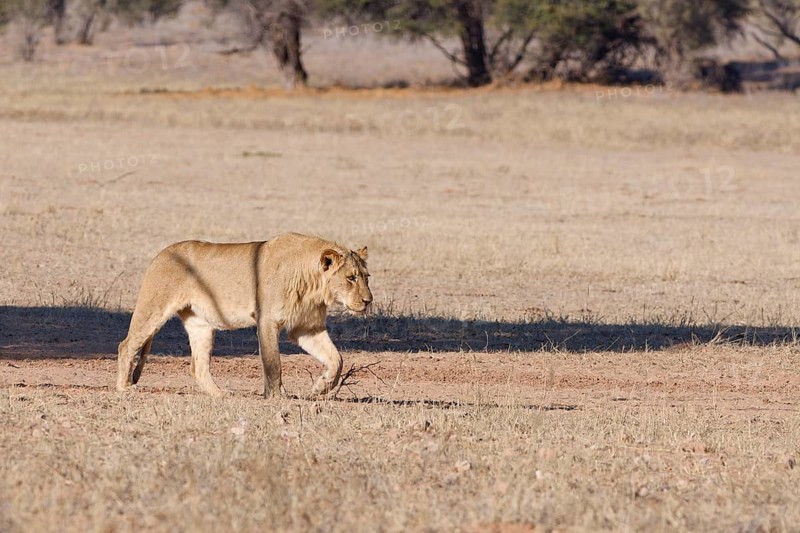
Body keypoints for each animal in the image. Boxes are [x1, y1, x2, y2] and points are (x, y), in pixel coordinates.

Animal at [116, 232, 372, 398]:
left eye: (366, 277)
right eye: (350, 278)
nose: (368, 301)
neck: (313, 287)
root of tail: (161, 254)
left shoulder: (307, 328)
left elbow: (336, 359)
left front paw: (322, 387)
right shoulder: (266, 320)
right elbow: (273, 363)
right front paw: (275, 397)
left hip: (201, 325)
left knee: (198, 367)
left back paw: (220, 395)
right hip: (154, 308)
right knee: (126, 345)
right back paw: (124, 387)